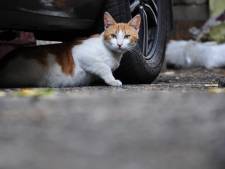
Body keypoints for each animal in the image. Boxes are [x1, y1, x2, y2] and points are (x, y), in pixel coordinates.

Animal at [0, 12, 141, 88]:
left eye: (127, 36)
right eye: (113, 36)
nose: (119, 44)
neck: (112, 54)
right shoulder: (80, 53)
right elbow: (103, 66)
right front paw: (112, 80)